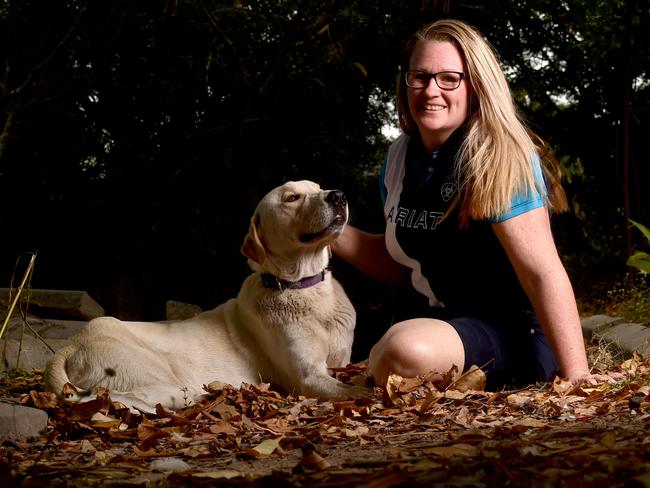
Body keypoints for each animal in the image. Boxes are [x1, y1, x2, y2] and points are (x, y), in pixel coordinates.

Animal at [44, 181, 364, 410]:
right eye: (292, 198)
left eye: (318, 187)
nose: (338, 196)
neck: (303, 287)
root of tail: (71, 344)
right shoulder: (309, 378)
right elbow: (359, 390)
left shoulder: (341, 361)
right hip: (164, 381)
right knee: (105, 397)